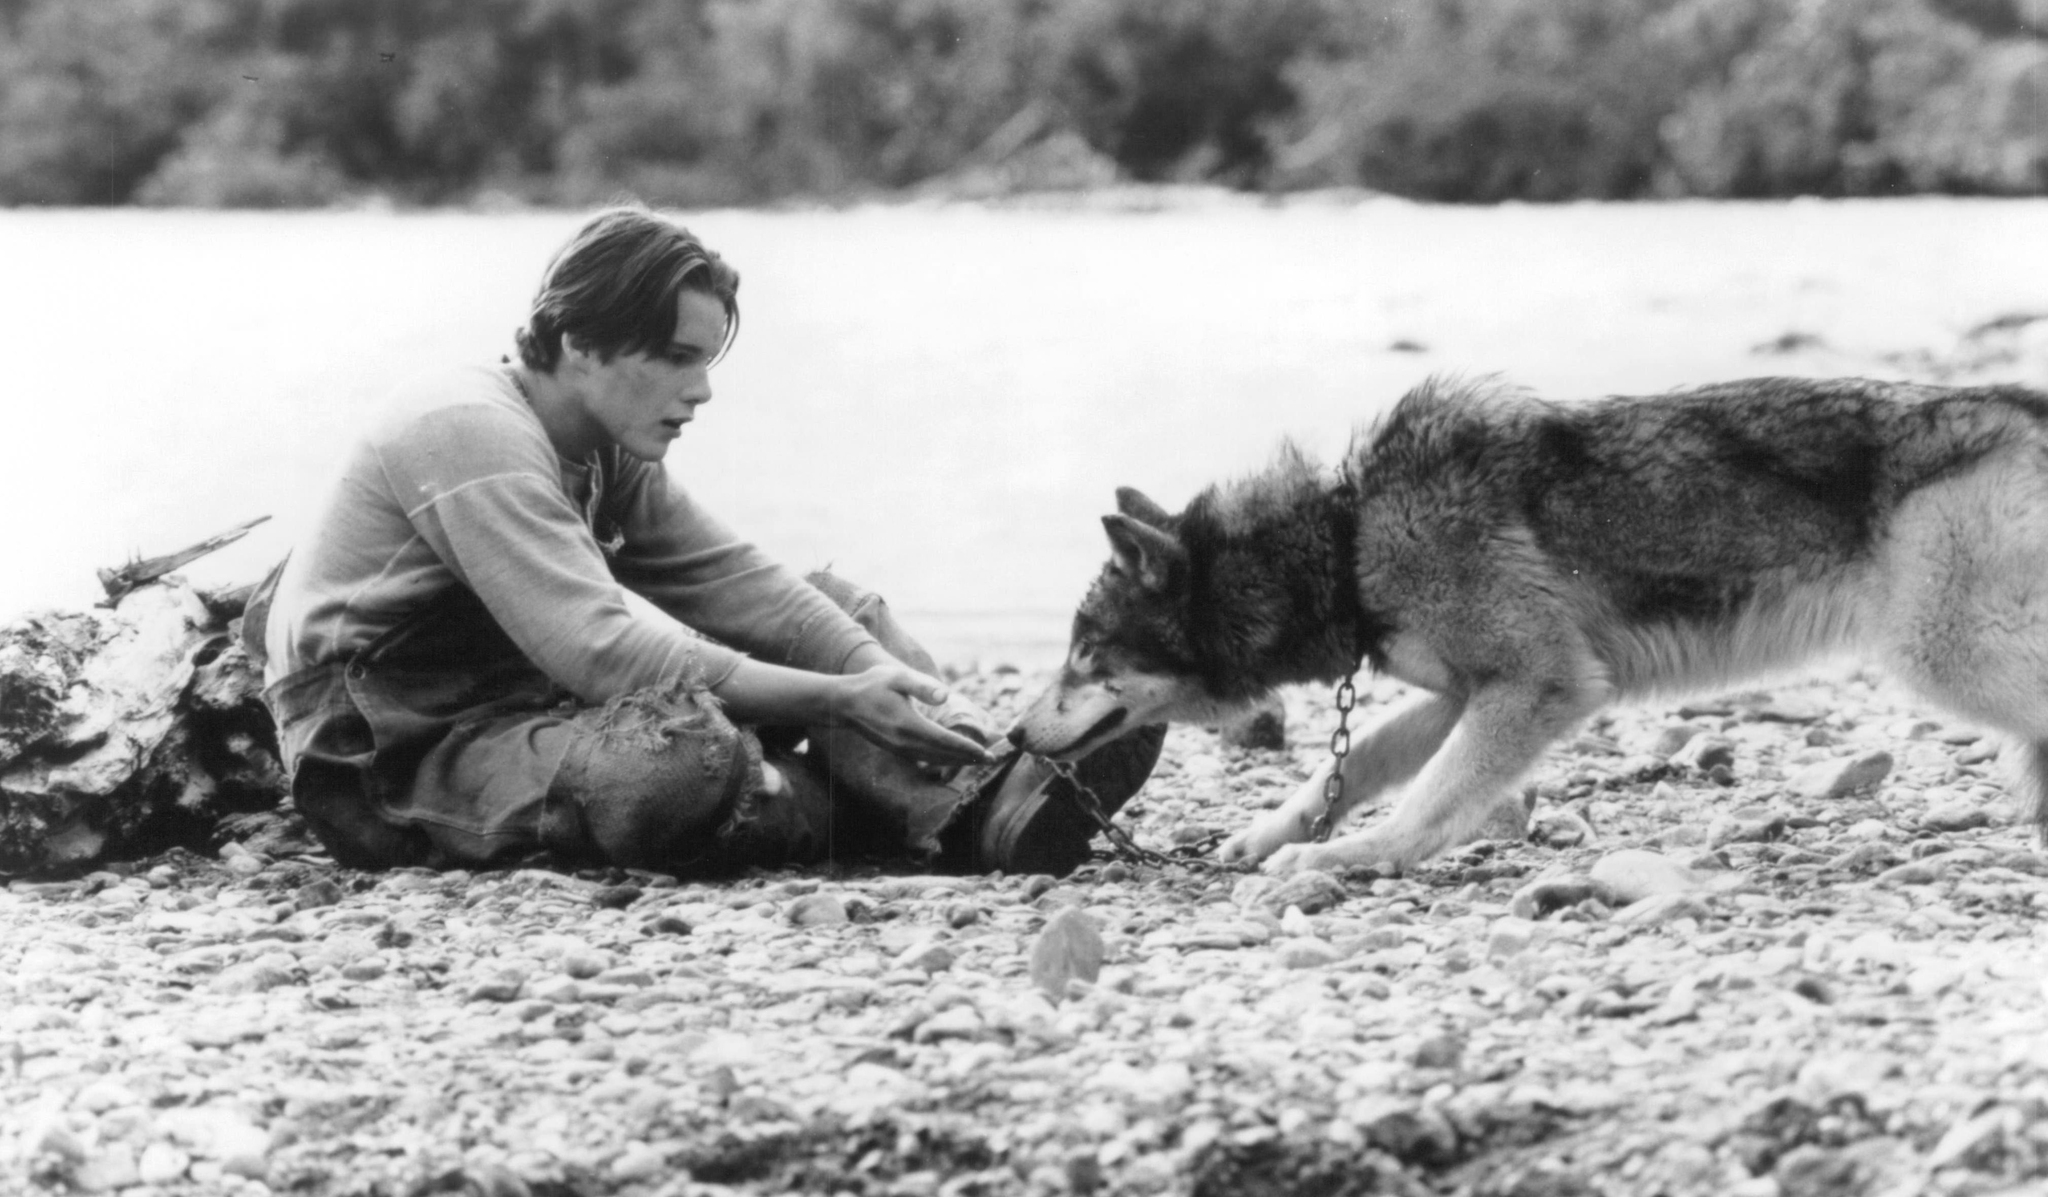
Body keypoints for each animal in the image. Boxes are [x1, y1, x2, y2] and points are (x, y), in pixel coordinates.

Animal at [1015, 379, 2048, 873]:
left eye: (1086, 652)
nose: (1015, 736)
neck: (1347, 538)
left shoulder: (1541, 683)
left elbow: (1427, 798)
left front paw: (1348, 858)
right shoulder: (1469, 692)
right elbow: (1359, 763)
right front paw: (1270, 837)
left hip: (1941, 654)